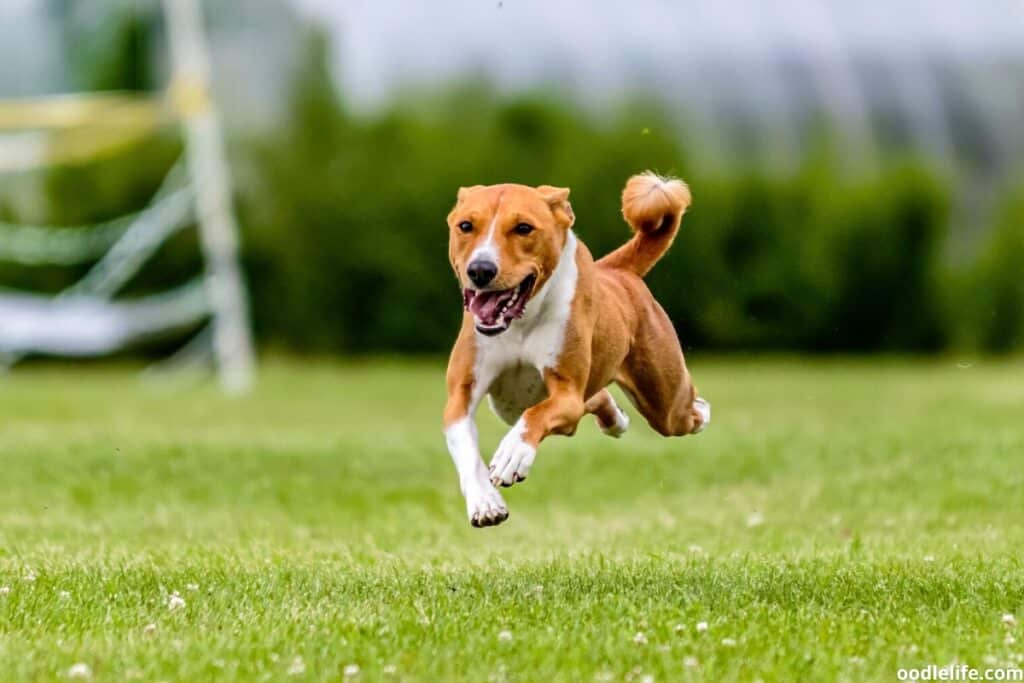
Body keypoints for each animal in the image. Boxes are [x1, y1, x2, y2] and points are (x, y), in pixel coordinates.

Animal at [440, 171, 712, 528]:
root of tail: (618, 272)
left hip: (665, 402)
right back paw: (615, 419)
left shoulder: (566, 391)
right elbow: (465, 445)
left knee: (687, 409)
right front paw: (485, 503)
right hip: (511, 405)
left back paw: (698, 413)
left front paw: (513, 454)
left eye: (524, 228)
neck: (520, 322)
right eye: (466, 226)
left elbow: (538, 413)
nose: (481, 270)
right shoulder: (461, 393)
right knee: (594, 400)